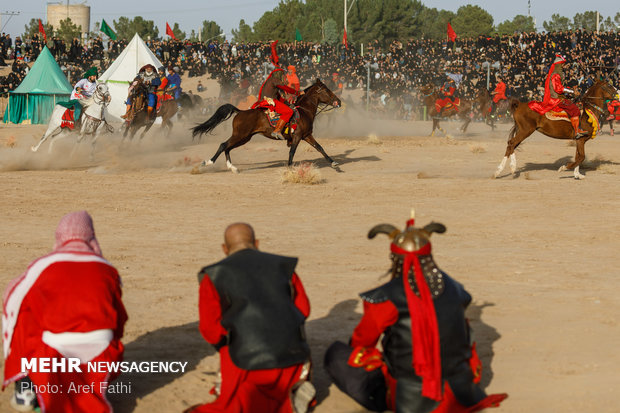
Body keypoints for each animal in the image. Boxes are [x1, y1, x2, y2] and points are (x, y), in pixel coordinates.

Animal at [193, 78, 342, 172]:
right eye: (327, 90)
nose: (338, 101)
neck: (304, 110)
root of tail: (241, 111)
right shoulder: (297, 136)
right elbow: (292, 152)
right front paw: (290, 168)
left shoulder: (306, 135)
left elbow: (320, 147)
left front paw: (334, 163)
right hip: (240, 135)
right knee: (223, 145)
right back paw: (209, 162)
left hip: (244, 138)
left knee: (227, 148)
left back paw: (232, 168)